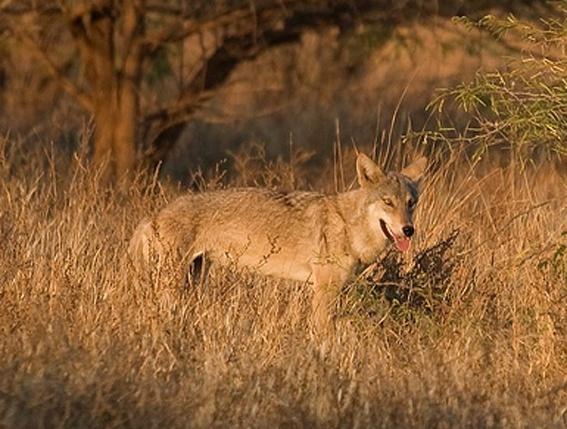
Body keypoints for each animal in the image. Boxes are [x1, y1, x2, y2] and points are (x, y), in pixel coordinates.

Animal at [131, 154, 428, 332]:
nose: (408, 230)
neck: (348, 226)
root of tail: (154, 215)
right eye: (388, 202)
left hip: (193, 280)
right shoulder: (323, 291)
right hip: (172, 286)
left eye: (411, 203)